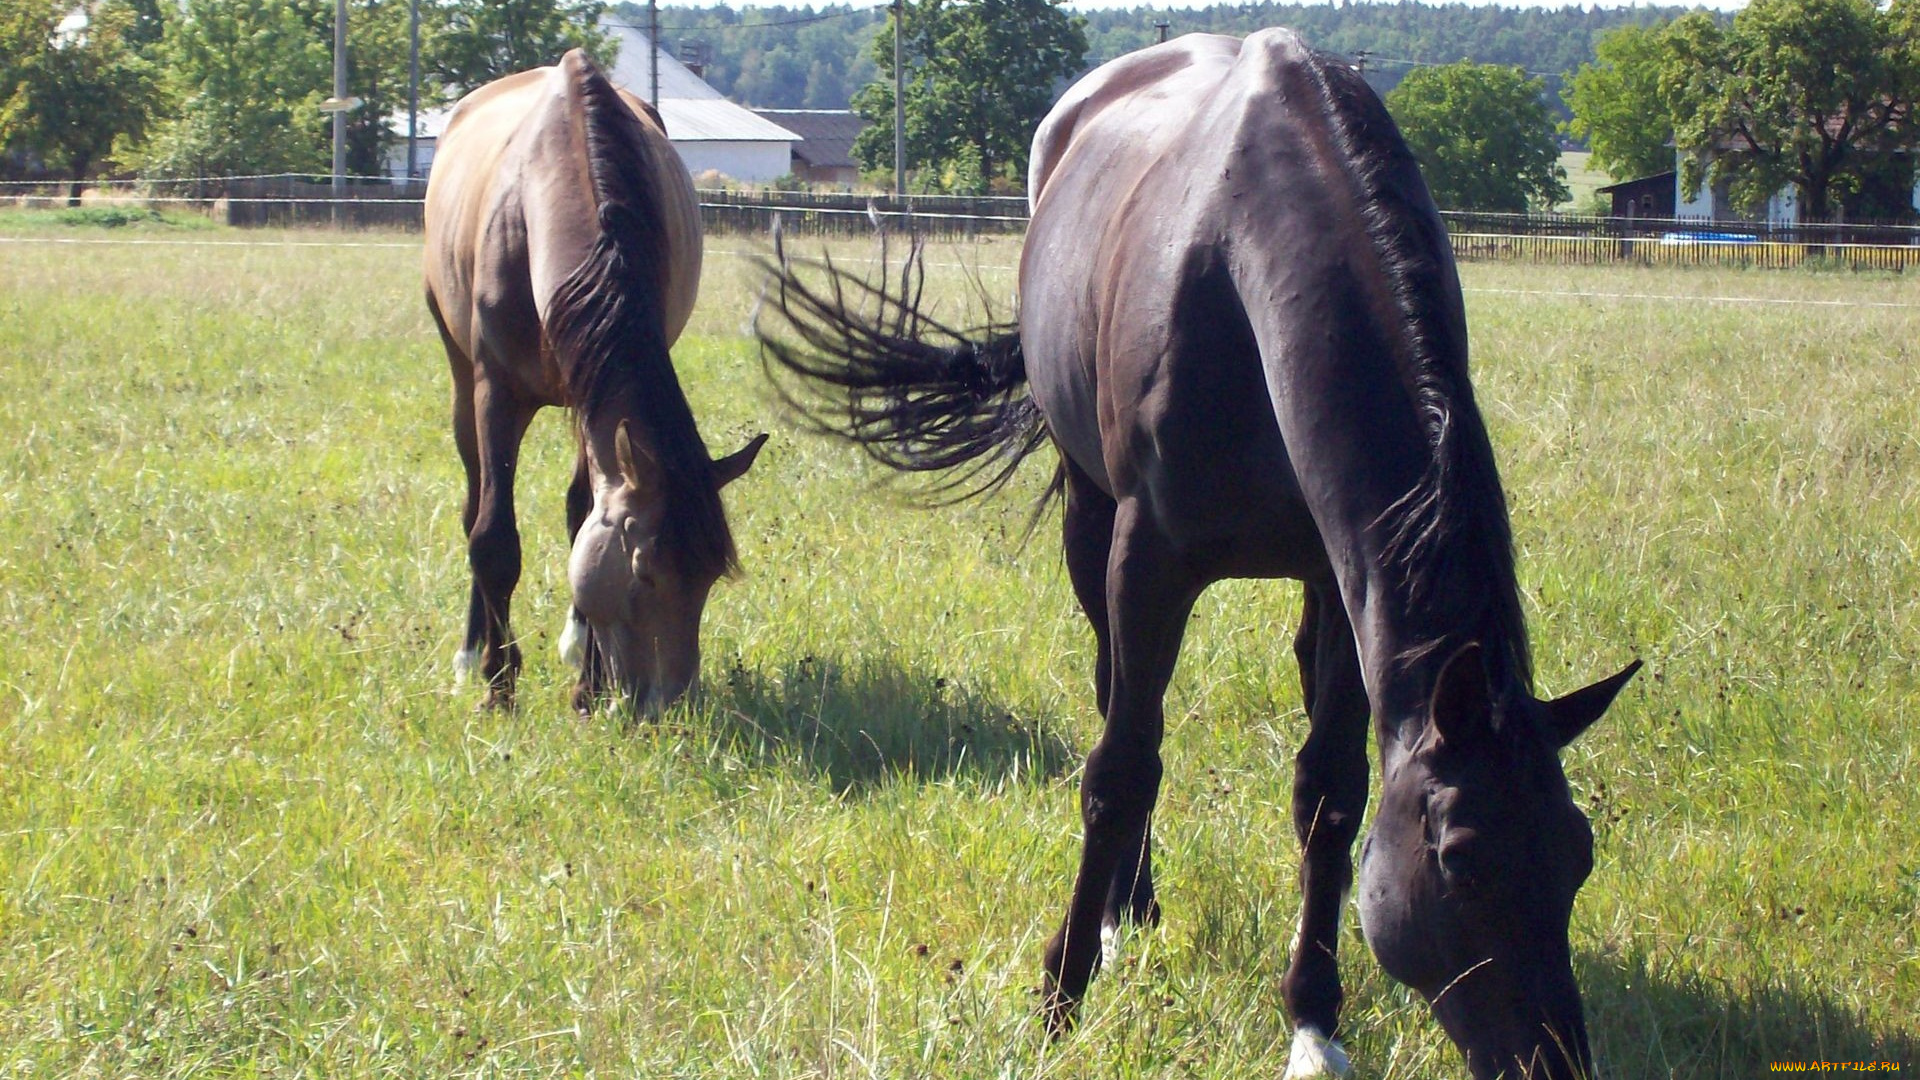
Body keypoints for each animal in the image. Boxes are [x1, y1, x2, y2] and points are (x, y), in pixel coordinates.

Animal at [426, 50, 764, 711]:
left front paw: (588, 682)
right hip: (459, 380)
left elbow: (583, 513)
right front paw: (498, 687)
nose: (668, 703)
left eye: (711, 575)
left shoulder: (594, 395)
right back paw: (470, 653)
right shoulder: (495, 392)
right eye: (643, 571)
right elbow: (493, 538)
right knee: (474, 500)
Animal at [760, 31, 1635, 1076]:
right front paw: (1060, 993)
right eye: (1458, 858)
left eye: (1579, 853)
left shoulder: (1346, 577)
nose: (1556, 1062)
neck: (1246, 271)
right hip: (1090, 513)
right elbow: (1120, 767)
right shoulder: (1150, 559)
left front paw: (1314, 1020)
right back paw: (1123, 908)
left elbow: (1332, 791)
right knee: (1113, 694)